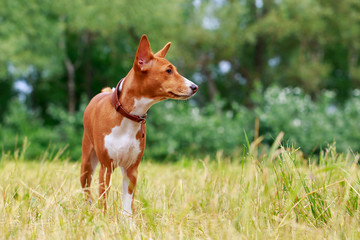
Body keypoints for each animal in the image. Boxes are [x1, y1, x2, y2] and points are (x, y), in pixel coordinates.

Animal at [80, 34, 198, 216]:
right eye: (168, 71)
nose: (195, 86)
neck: (128, 118)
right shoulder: (106, 168)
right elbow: (104, 199)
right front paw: (104, 219)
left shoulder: (132, 168)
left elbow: (128, 205)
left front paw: (128, 222)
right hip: (87, 163)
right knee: (86, 190)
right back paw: (88, 209)